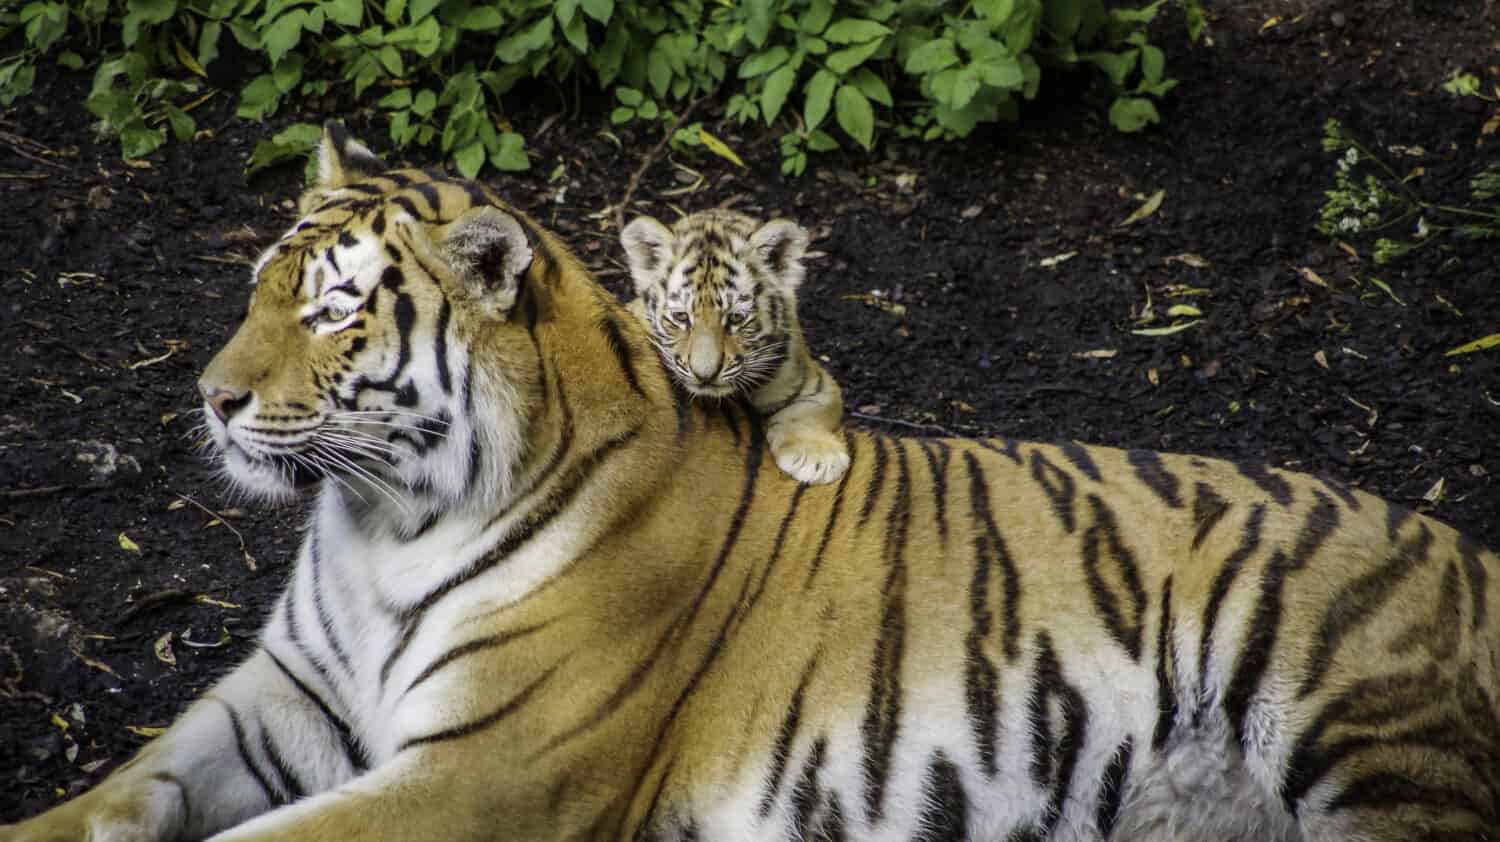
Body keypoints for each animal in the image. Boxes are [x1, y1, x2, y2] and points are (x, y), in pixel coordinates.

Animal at [5, 126, 1494, 840]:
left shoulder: (485, 773)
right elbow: (120, 792)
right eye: (260, 285)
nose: (211, 397)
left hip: (1366, 734)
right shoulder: (285, 698)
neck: (383, 519)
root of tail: (1469, 547)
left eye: (330, 311)